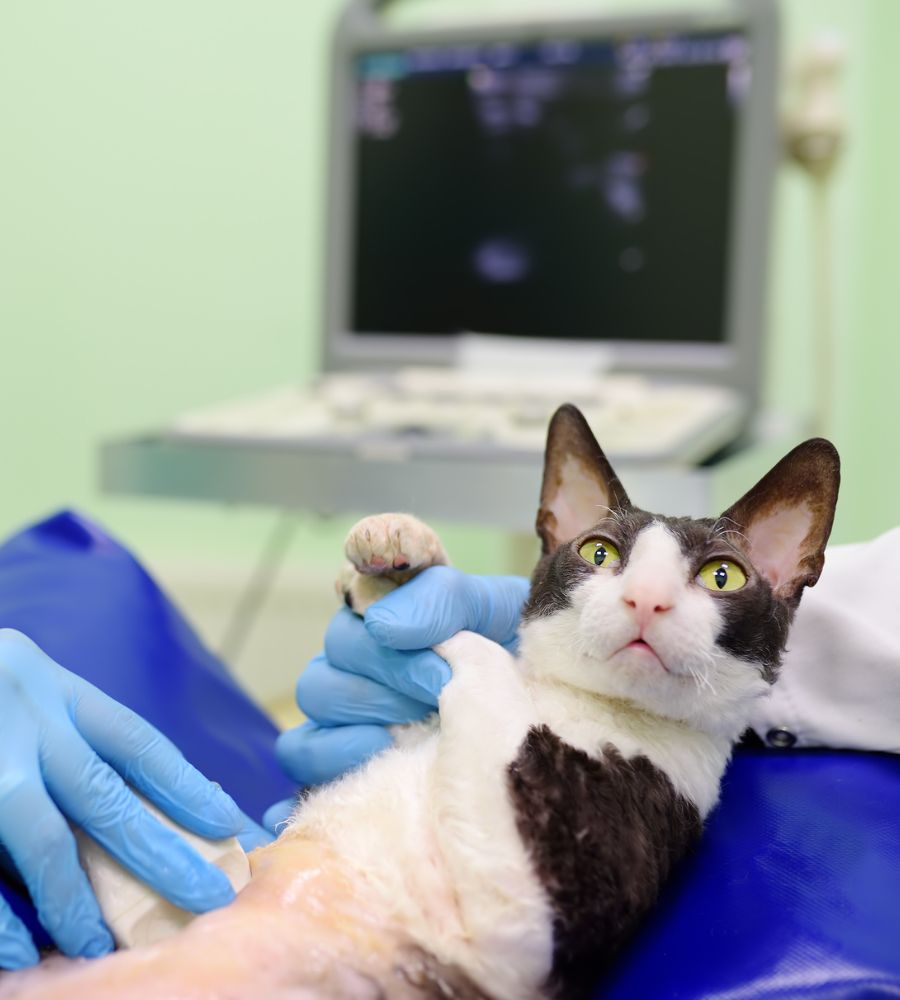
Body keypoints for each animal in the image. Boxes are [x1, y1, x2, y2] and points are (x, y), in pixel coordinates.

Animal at [0, 404, 840, 1000]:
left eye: (722, 577)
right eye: (599, 554)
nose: (647, 600)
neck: (574, 704)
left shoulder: (522, 936)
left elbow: (485, 674)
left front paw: (465, 632)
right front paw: (395, 556)